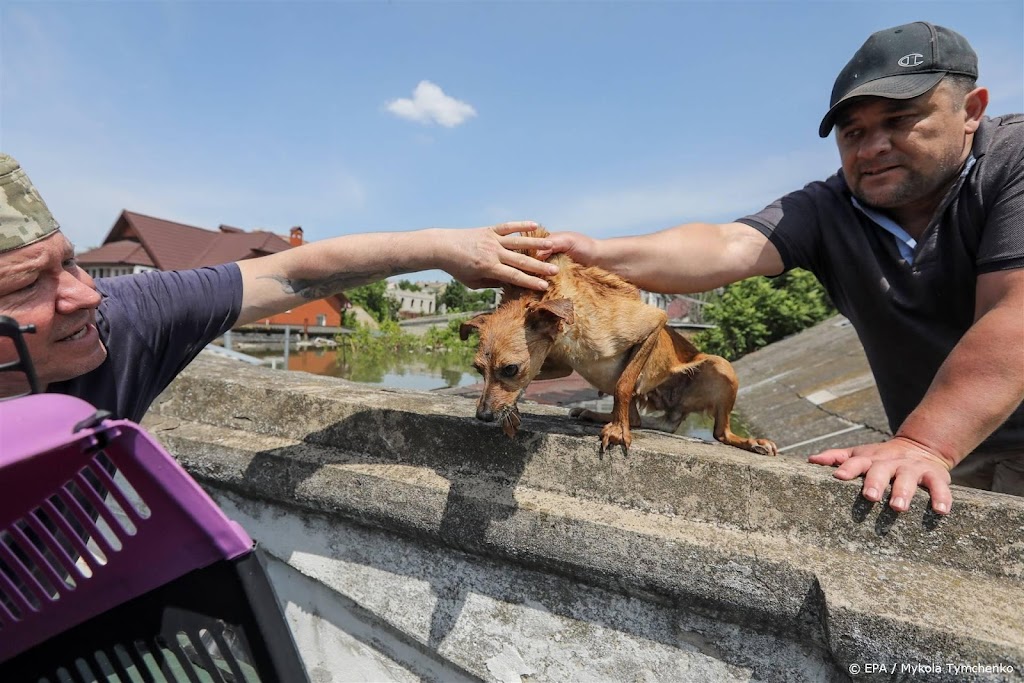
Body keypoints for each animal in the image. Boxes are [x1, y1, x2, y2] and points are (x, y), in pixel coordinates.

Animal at [456, 229, 774, 458]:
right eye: (478, 369)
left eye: (510, 368)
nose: (482, 416)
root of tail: (673, 411)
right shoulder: (557, 364)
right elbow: (530, 382)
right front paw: (511, 413)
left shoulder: (652, 322)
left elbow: (623, 386)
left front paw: (618, 433)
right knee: (637, 417)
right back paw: (596, 414)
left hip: (721, 367)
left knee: (719, 432)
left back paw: (749, 441)